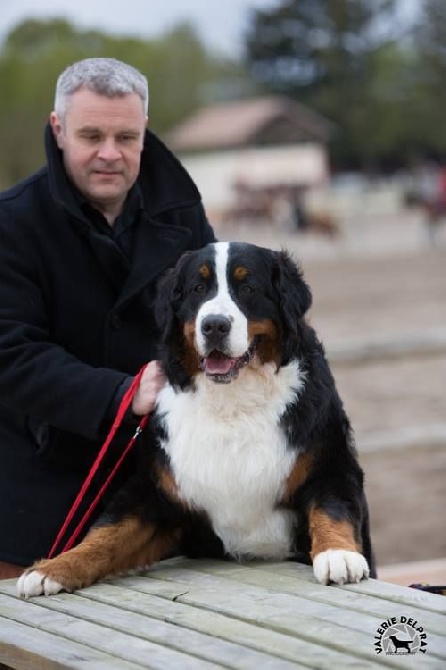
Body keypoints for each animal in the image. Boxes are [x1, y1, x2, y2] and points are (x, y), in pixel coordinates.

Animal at [17, 242, 374, 600]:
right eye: (197, 289)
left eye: (248, 288)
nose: (214, 325)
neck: (231, 402)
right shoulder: (157, 491)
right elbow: (108, 532)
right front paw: (52, 569)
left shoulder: (329, 464)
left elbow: (332, 509)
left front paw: (338, 555)